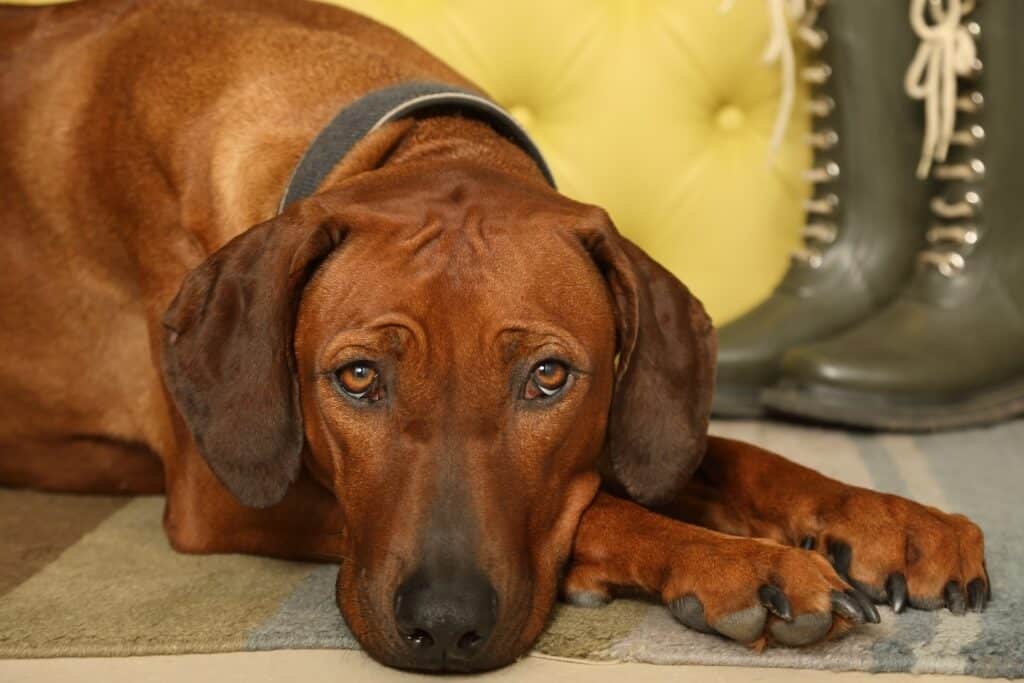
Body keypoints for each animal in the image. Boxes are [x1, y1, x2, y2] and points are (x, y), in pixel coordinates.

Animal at [2, 0, 991, 671]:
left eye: (548, 377)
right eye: (356, 378)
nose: (443, 628)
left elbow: (729, 452)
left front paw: (891, 520)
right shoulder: (220, 492)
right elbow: (606, 503)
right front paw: (737, 563)